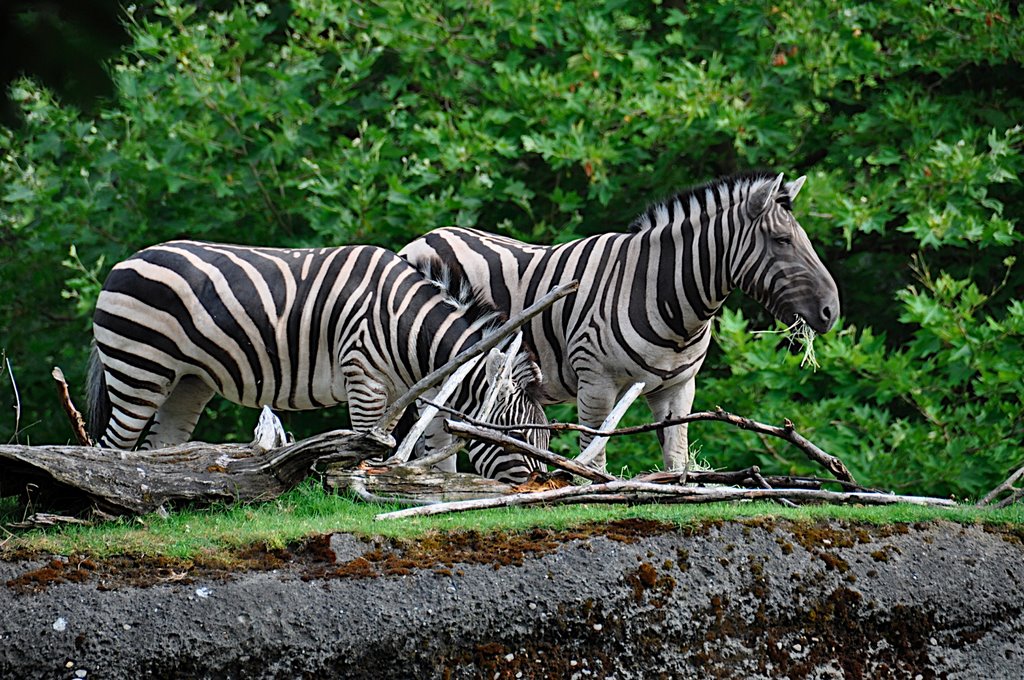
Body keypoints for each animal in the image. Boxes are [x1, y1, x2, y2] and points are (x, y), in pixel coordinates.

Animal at [86, 238, 552, 483]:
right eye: (516, 434)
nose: (543, 486)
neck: (407, 324)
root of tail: (125, 260)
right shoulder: (364, 378)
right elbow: (367, 443)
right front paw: (357, 489)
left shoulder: (418, 390)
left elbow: (437, 450)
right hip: (138, 367)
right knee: (110, 447)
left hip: (187, 381)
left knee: (156, 450)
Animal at [399, 171, 839, 473]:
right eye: (782, 241)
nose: (832, 311)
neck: (670, 299)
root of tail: (426, 236)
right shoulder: (596, 384)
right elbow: (594, 460)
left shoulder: (679, 388)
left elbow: (676, 458)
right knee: (435, 442)